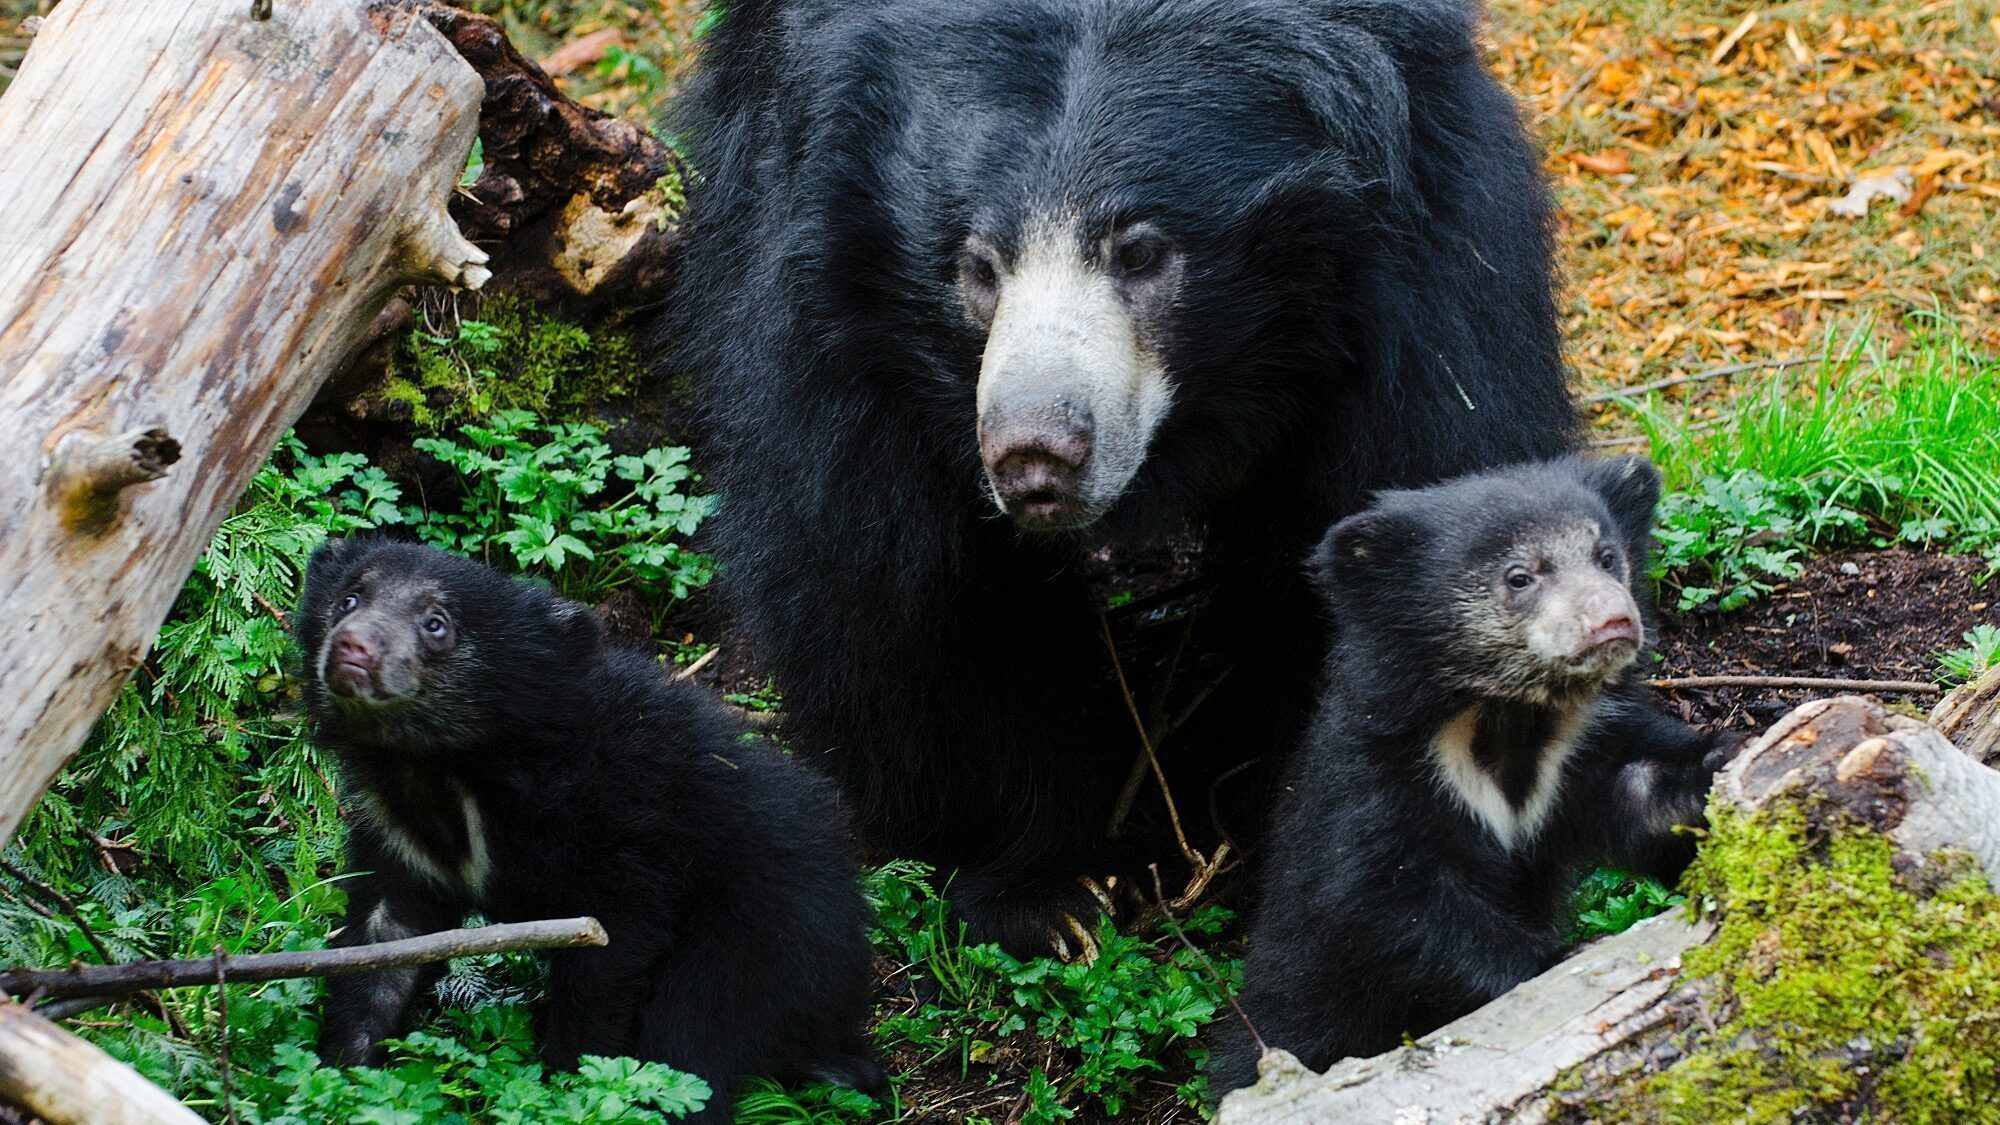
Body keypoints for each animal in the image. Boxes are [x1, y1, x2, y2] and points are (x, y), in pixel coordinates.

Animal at [298, 539, 881, 1121]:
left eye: (437, 624)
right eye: (350, 598)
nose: (352, 647)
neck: (440, 768)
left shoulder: (618, 832)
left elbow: (609, 960)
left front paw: (571, 1084)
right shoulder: (396, 835)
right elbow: (382, 945)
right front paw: (341, 1070)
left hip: (758, 942)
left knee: (691, 1038)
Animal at [665, 0, 1580, 955]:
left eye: (1139, 253)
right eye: (977, 265)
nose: (1035, 453)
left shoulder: (1415, 269)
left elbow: (1403, 511)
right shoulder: (829, 300)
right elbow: (890, 584)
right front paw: (1046, 894)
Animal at [1207, 457, 1732, 1094]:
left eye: (1606, 556)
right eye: (1520, 577)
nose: (1613, 621)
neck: (1509, 714)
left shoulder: (1584, 749)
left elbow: (1641, 790)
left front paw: (1726, 760)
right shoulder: (1381, 779)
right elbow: (1389, 902)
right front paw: (1559, 956)